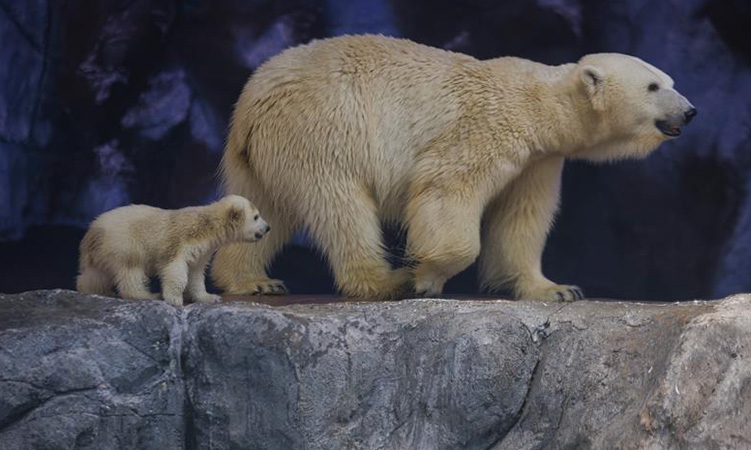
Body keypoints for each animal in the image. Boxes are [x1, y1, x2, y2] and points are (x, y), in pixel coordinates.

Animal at [210, 35, 692, 300]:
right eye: (654, 86)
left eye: (671, 80)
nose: (690, 112)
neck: (540, 103)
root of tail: (252, 99)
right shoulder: (487, 126)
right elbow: (447, 189)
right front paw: (424, 275)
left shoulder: (537, 161)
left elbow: (520, 219)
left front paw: (556, 289)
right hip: (324, 125)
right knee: (340, 203)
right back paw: (386, 280)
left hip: (265, 150)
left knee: (268, 206)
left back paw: (253, 280)